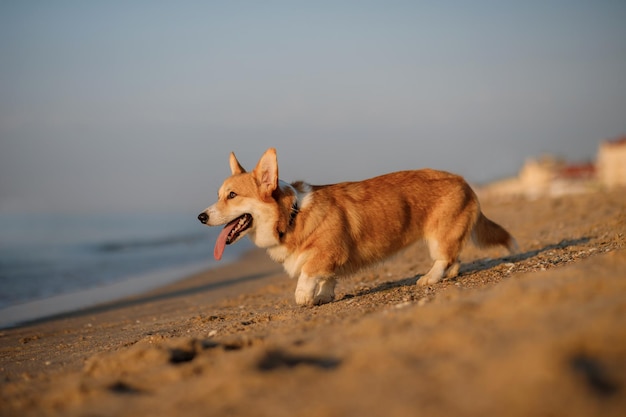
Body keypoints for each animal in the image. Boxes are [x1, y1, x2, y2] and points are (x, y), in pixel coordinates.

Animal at [197, 148, 516, 304]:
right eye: (218, 195)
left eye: (232, 195)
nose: (200, 217)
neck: (292, 214)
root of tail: (463, 181)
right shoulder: (330, 261)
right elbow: (327, 279)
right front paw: (323, 296)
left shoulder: (326, 252)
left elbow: (308, 274)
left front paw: (304, 297)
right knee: (454, 258)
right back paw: (448, 274)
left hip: (439, 234)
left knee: (444, 257)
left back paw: (430, 277)